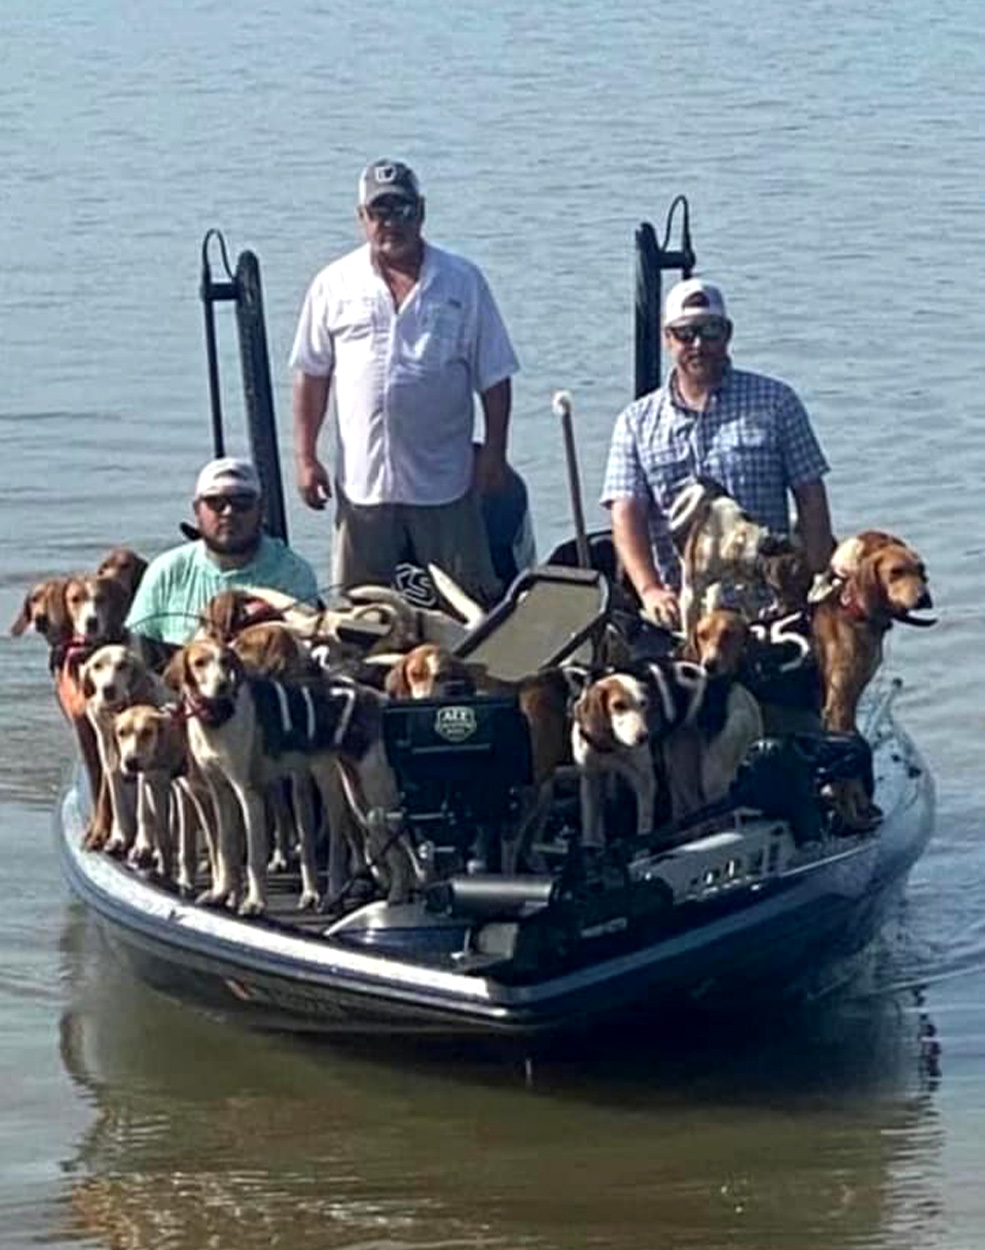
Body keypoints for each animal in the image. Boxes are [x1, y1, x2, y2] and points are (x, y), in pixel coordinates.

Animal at [173, 640, 400, 915]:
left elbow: (255, 859)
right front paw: (220, 894)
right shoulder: (221, 793)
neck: (217, 719)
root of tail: (376, 698)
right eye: (199, 663)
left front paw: (255, 902)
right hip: (360, 798)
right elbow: (225, 851)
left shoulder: (248, 794)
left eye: (225, 661)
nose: (222, 686)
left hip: (372, 792)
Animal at [570, 655, 760, 850]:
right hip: (681, 767)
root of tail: (746, 698)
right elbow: (590, 828)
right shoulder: (592, 781)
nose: (643, 737)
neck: (609, 742)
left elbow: (644, 829)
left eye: (643, 704)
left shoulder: (644, 783)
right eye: (618, 706)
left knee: (722, 816)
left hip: (712, 777)